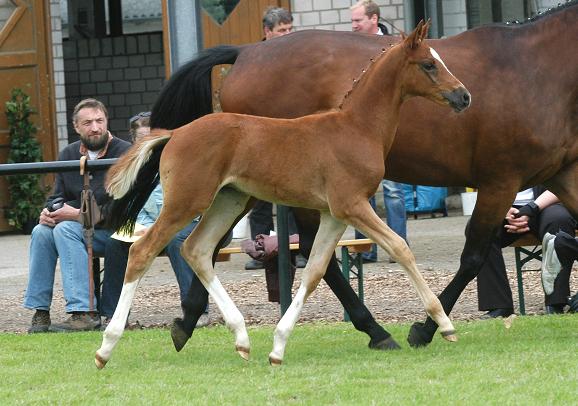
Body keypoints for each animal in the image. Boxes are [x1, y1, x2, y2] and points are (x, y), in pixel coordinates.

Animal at [95, 23, 468, 372]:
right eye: (428, 64)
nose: (463, 96)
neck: (357, 127)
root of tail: (175, 133)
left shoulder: (334, 214)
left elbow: (315, 270)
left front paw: (278, 347)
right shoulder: (352, 205)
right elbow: (400, 247)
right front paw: (443, 325)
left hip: (228, 200)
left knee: (196, 250)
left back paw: (242, 338)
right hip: (187, 202)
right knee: (143, 251)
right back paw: (106, 347)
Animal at [150, 0, 576, 350]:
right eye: (428, 65)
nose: (464, 97)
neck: (533, 71)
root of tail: (247, 52)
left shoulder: (561, 174)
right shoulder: (500, 181)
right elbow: (472, 256)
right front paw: (426, 328)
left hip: (244, 188)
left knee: (218, 243)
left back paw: (187, 321)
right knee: (287, 249)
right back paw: (374, 330)